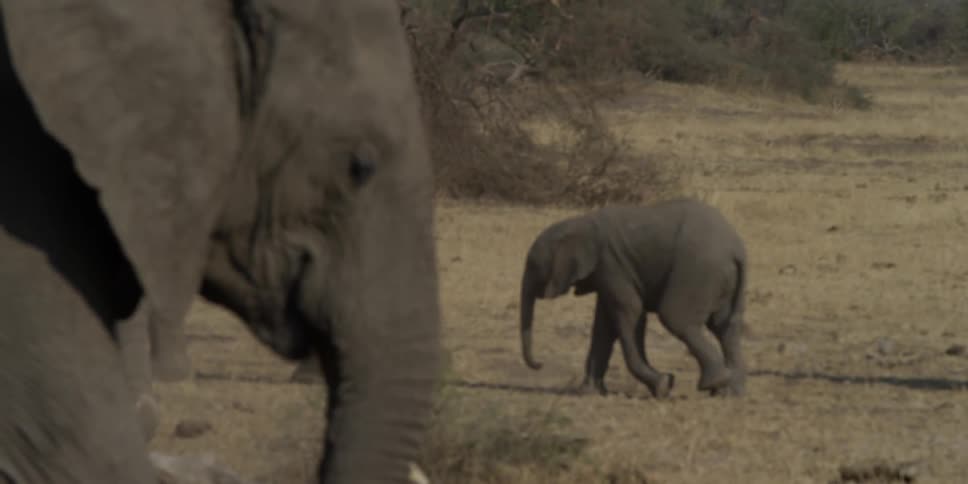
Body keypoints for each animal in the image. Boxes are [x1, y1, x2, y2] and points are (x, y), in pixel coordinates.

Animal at [518, 198, 747, 399]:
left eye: (533, 266)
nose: (540, 364)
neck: (580, 223)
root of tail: (736, 249)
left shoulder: (611, 265)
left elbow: (631, 312)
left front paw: (663, 386)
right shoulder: (606, 273)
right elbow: (604, 326)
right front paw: (588, 392)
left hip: (698, 271)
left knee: (676, 318)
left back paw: (715, 383)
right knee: (726, 327)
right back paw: (729, 392)